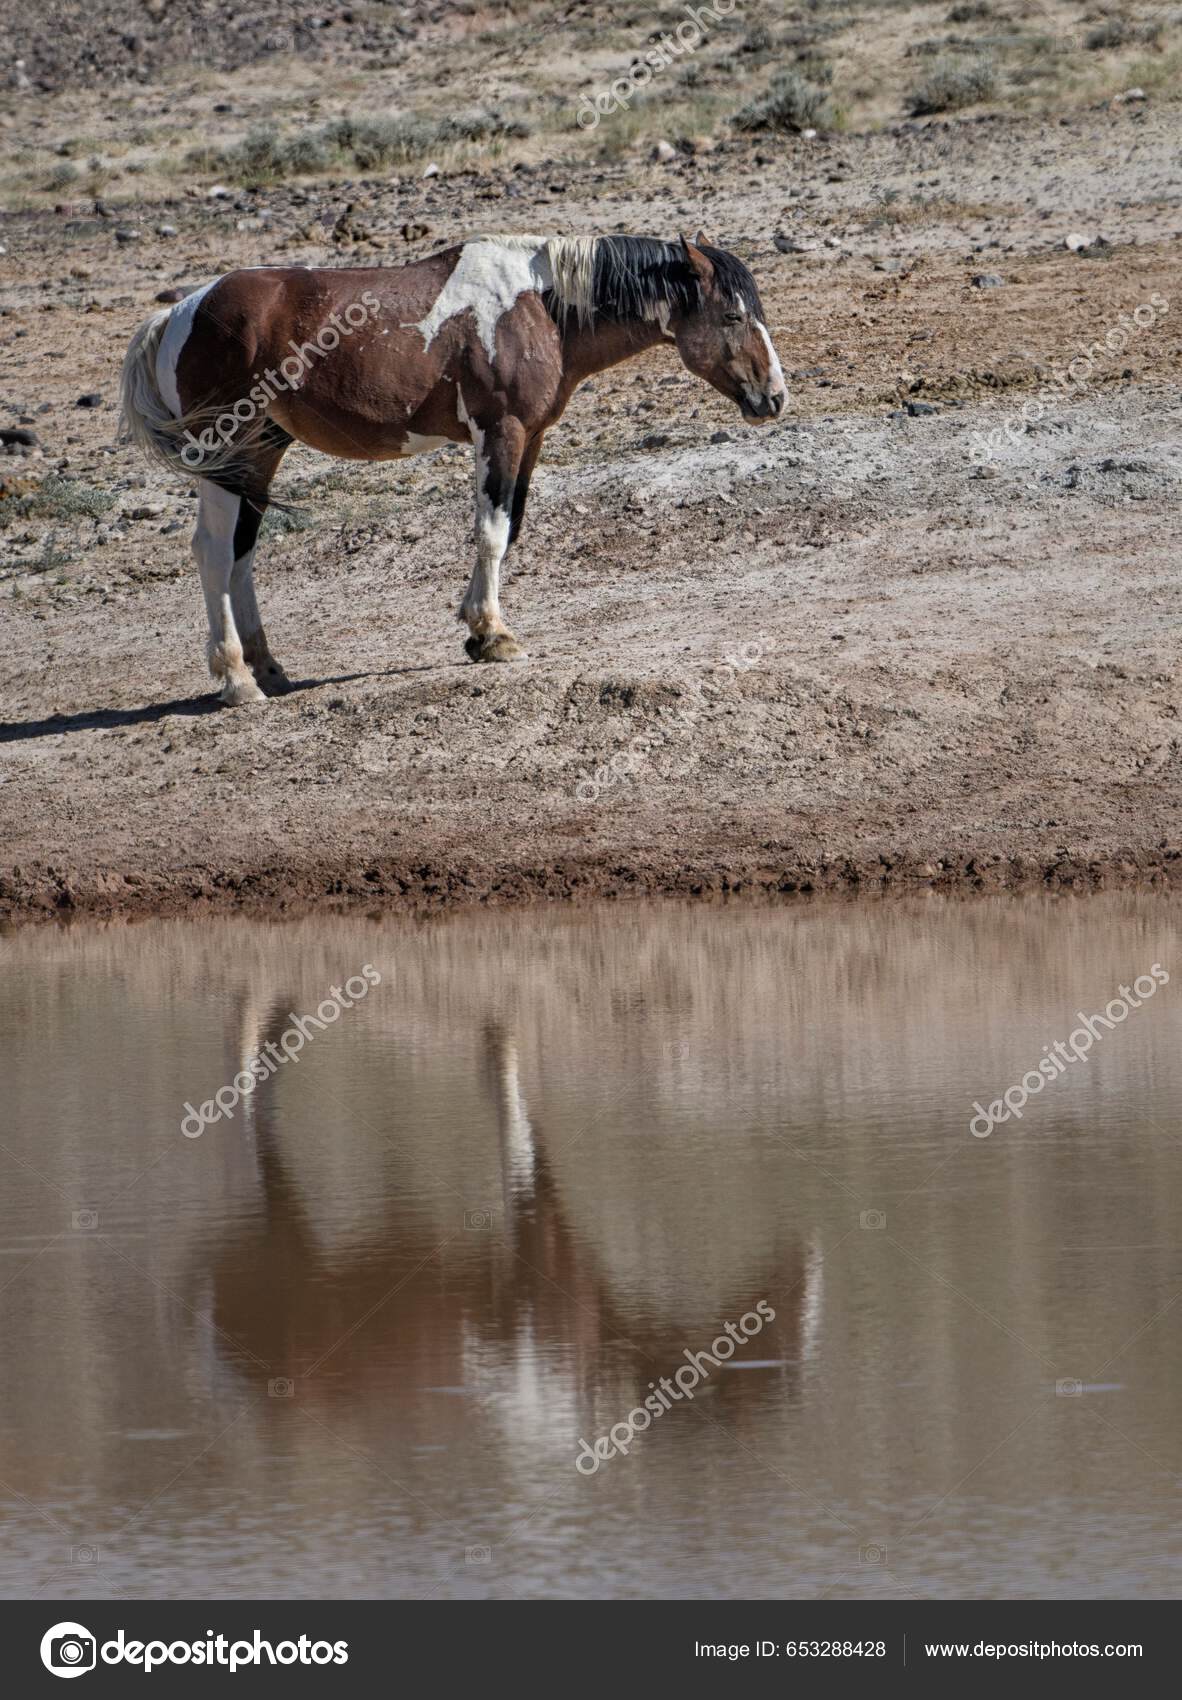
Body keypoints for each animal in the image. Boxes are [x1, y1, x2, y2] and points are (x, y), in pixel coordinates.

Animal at [119, 232, 787, 706]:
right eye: (732, 317)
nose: (775, 397)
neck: (539, 307)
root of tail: (181, 312)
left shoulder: (530, 439)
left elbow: (509, 530)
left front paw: (477, 632)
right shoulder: (501, 432)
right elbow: (490, 532)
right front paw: (494, 636)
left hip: (258, 455)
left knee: (241, 555)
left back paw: (270, 669)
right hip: (226, 456)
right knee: (212, 552)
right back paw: (236, 680)